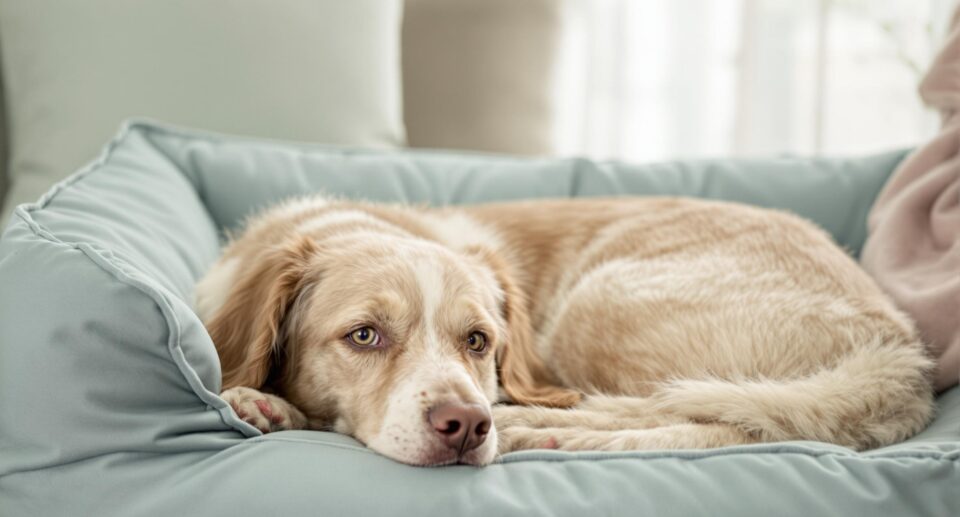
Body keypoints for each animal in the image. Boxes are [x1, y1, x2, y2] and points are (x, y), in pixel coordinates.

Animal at [191, 196, 932, 466]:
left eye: (478, 341)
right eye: (364, 336)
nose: (468, 425)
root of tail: (898, 345)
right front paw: (260, 400)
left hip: (599, 300)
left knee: (713, 418)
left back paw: (544, 430)